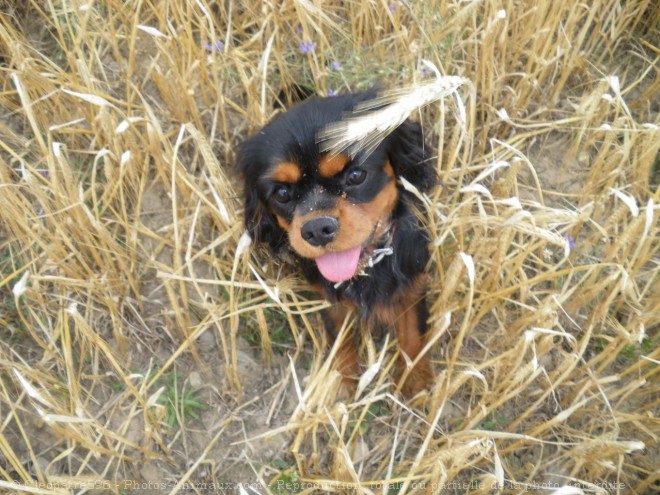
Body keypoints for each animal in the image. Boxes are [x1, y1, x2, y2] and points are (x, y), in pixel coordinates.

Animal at [238, 89, 438, 398]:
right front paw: (341, 381)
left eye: (356, 175)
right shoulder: (327, 294)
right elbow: (338, 335)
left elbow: (413, 333)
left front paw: (416, 382)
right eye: (282, 193)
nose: (317, 229)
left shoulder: (413, 279)